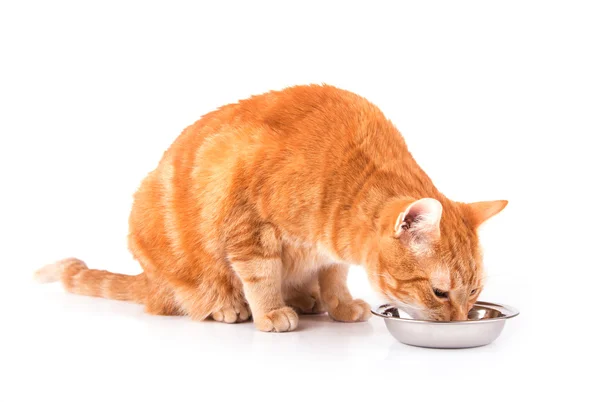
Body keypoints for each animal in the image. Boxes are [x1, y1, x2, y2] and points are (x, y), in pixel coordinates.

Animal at [35, 84, 506, 330]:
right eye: (440, 292)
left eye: (474, 292)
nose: (461, 319)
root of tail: (147, 281)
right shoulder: (250, 228)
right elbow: (259, 277)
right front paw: (269, 312)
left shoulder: (327, 254)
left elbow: (334, 279)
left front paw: (337, 305)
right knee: (187, 297)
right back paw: (227, 305)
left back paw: (304, 299)